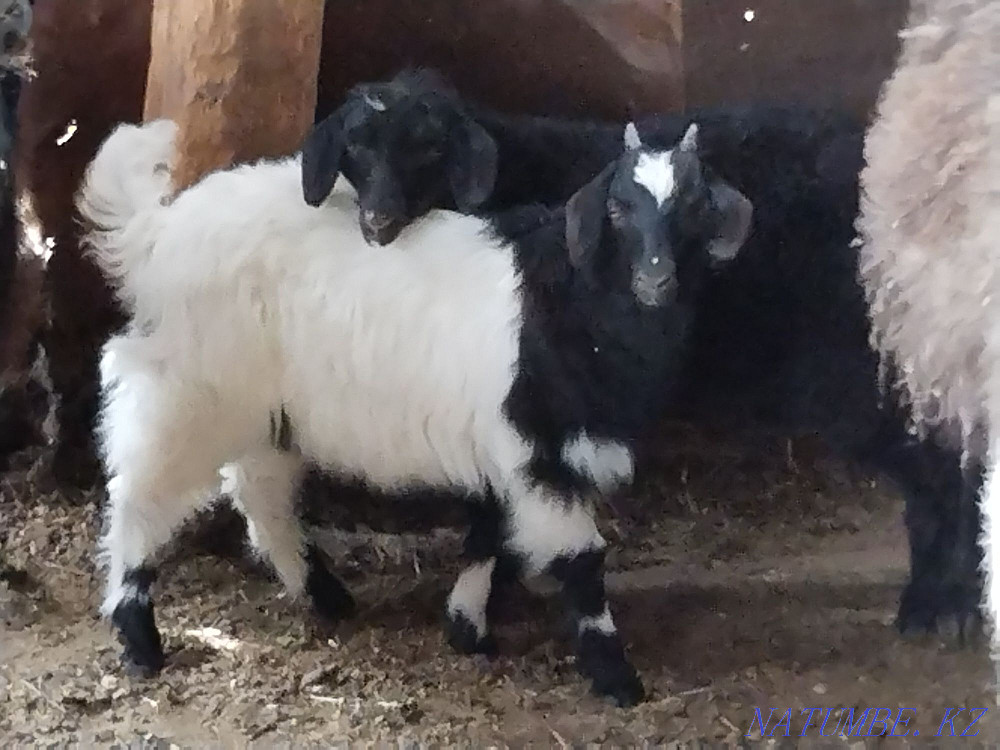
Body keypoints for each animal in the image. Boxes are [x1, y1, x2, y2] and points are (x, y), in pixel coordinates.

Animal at [78, 118, 752, 705]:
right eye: (617, 209)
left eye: (696, 207)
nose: (656, 281)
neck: (572, 298)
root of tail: (158, 232)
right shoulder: (536, 448)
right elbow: (582, 560)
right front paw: (616, 677)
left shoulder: (510, 446)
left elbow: (489, 533)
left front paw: (466, 626)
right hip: (189, 389)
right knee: (142, 494)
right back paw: (138, 637)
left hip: (267, 400)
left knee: (259, 488)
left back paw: (321, 594)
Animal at [301, 68, 983, 643]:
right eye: (355, 147)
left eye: (429, 146)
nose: (377, 219)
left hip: (867, 368)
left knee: (939, 468)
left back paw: (937, 607)